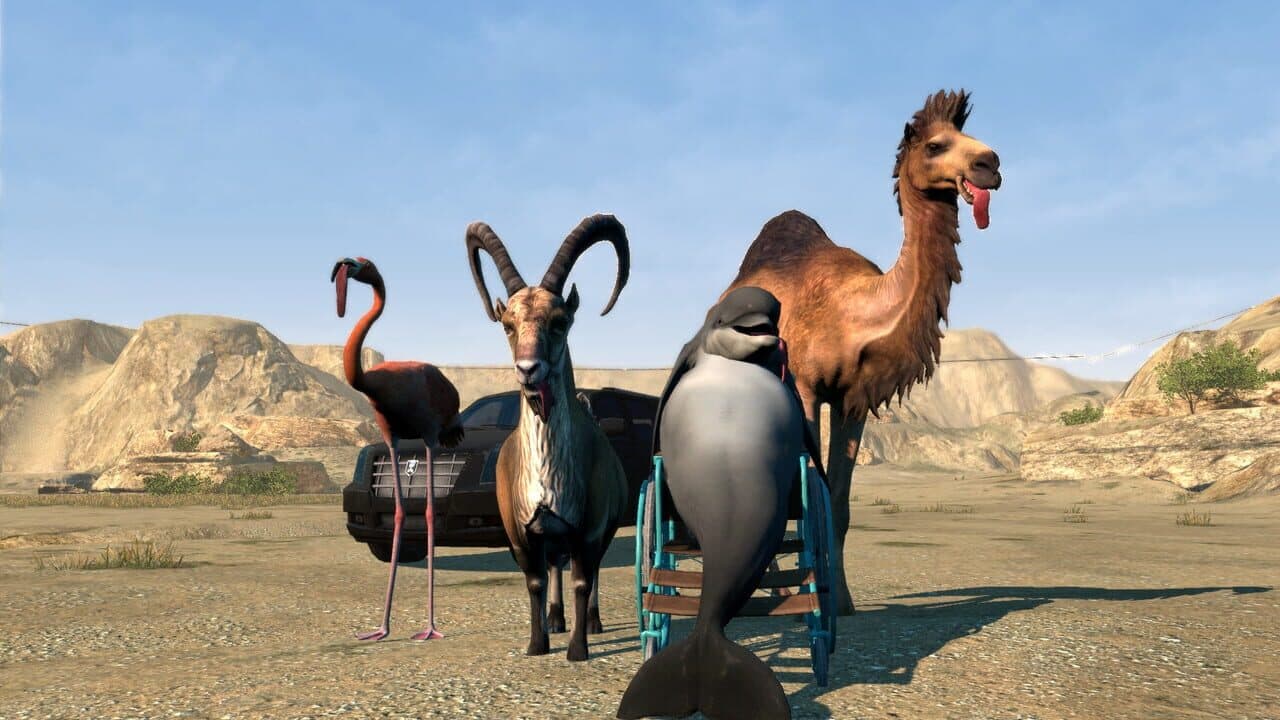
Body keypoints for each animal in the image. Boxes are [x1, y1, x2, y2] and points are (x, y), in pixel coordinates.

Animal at [466, 214, 630, 662]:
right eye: (508, 326)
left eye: (560, 322)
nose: (528, 369)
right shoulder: (521, 528)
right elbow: (536, 581)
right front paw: (537, 643)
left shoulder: (590, 525)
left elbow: (583, 580)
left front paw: (578, 650)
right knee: (556, 564)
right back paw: (556, 619)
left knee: (590, 571)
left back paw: (590, 622)